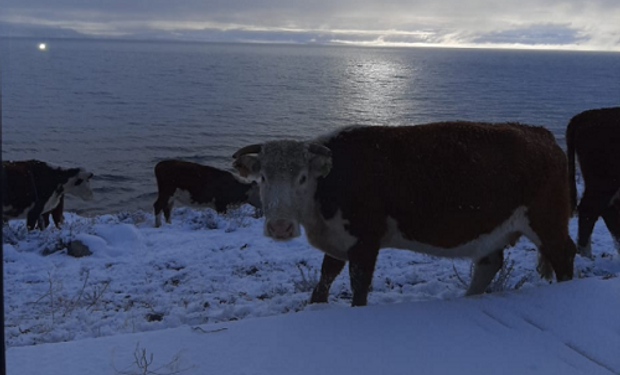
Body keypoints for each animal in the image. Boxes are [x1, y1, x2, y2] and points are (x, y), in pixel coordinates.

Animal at [232, 122, 576, 306]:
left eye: (302, 178)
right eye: (263, 178)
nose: (279, 227)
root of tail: (540, 134)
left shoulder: (365, 241)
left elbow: (358, 286)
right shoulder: (339, 238)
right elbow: (324, 278)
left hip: (547, 222)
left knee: (564, 255)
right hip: (495, 231)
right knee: (489, 263)